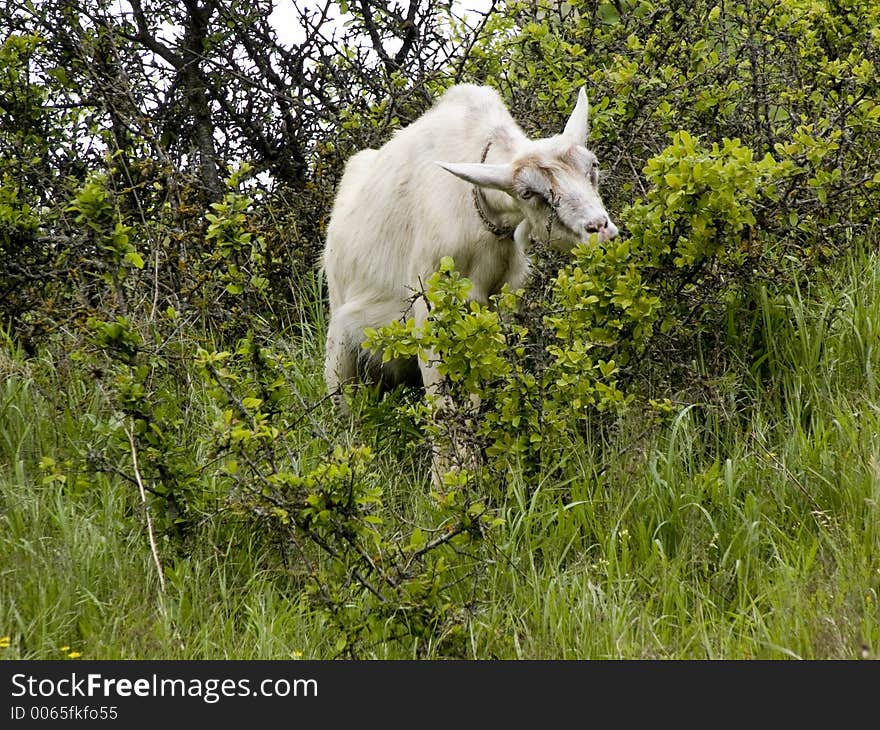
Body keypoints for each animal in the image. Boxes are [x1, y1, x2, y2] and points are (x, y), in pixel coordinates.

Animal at [324, 84, 620, 410]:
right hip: (340, 340)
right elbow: (439, 400)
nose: (600, 229)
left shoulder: (500, 305)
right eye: (528, 193)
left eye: (593, 166)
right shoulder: (427, 306)